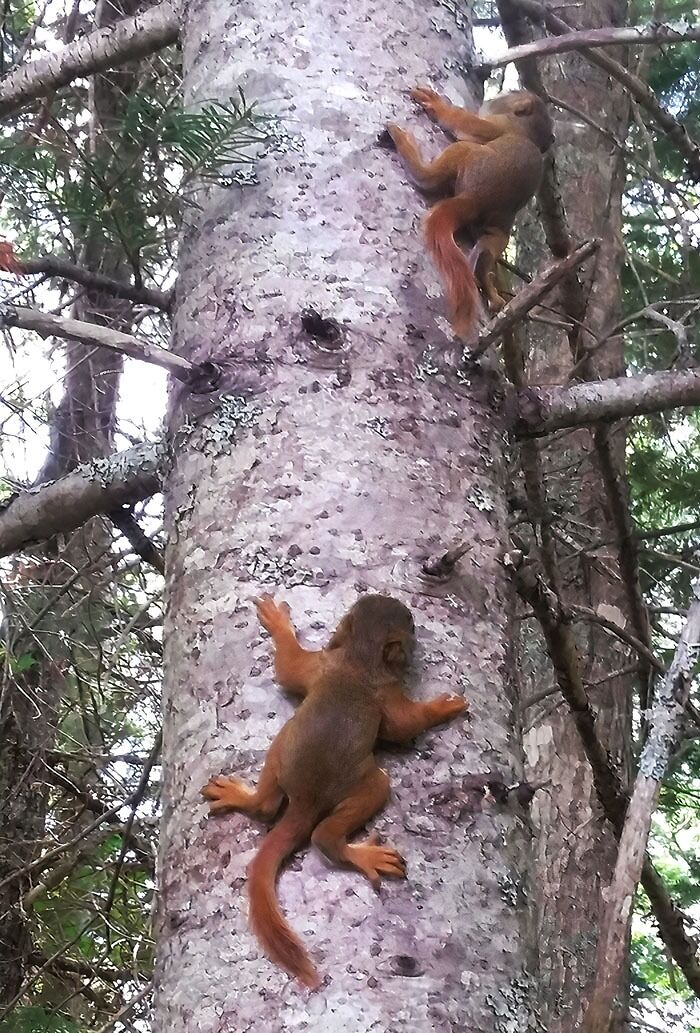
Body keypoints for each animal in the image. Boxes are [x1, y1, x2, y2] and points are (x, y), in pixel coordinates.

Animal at [202, 593, 466, 988]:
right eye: (409, 623)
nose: (412, 618)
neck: (358, 658)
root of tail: (306, 802)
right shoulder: (384, 693)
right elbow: (405, 725)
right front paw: (444, 706)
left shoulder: (318, 665)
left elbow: (289, 667)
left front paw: (278, 623)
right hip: (368, 783)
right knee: (323, 834)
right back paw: (366, 856)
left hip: (280, 751)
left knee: (266, 805)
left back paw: (240, 796)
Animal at [385, 87, 553, 341]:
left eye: (513, 94)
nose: (502, 93)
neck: (526, 129)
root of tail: (473, 201)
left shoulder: (497, 125)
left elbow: (462, 121)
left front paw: (436, 103)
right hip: (496, 233)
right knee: (486, 256)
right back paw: (492, 293)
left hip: (466, 154)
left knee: (429, 176)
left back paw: (404, 145)